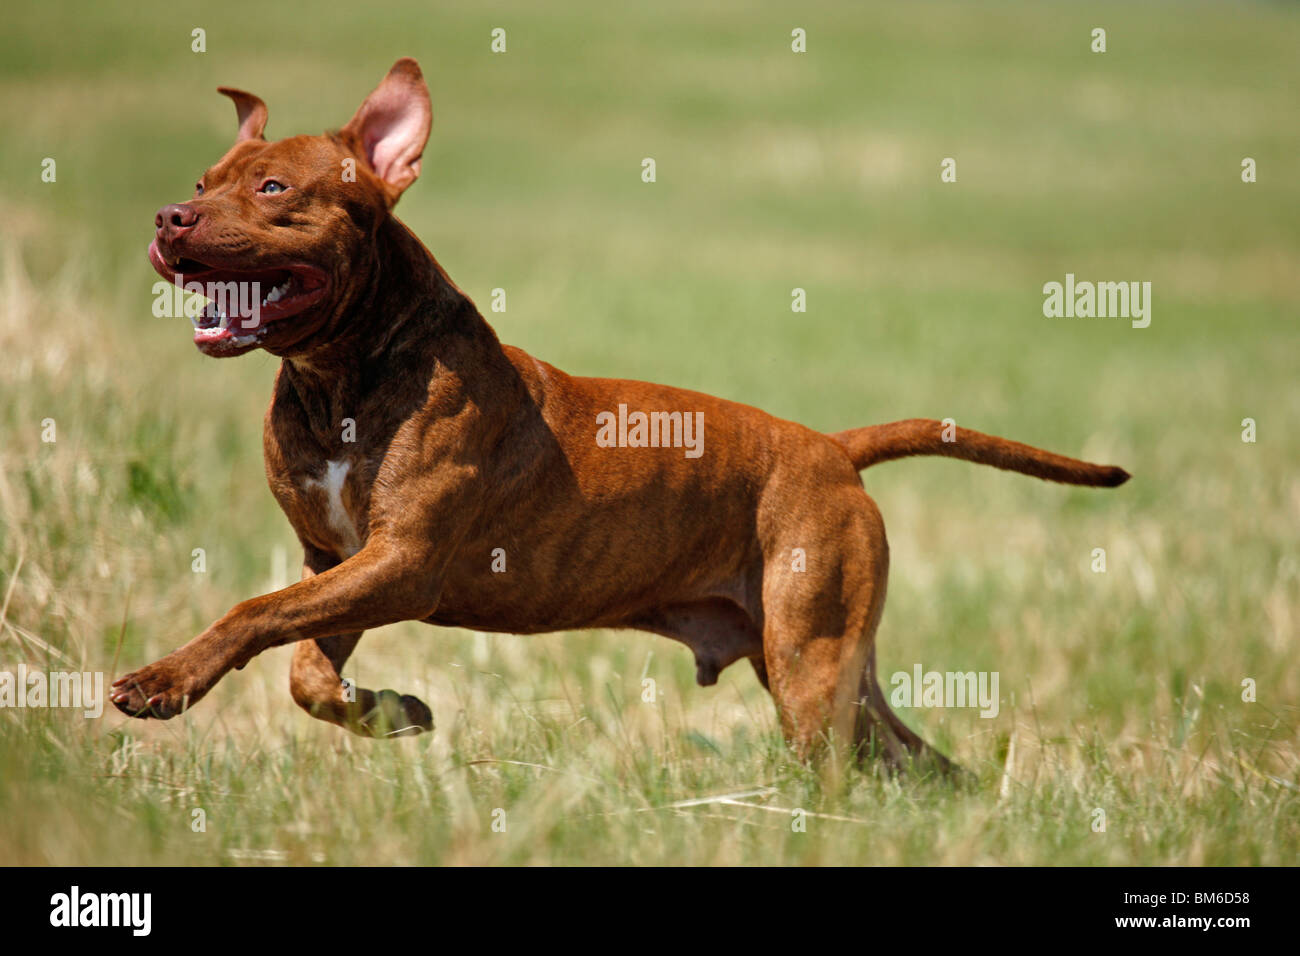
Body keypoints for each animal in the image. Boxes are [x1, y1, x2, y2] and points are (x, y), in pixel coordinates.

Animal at [111, 57, 1128, 770]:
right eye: (203, 182)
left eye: (273, 189)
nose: (167, 218)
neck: (339, 376)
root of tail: (832, 449)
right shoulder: (338, 561)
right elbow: (302, 665)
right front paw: (391, 713)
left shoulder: (402, 562)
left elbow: (252, 611)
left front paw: (164, 682)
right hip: (822, 665)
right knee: (921, 764)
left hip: (811, 659)